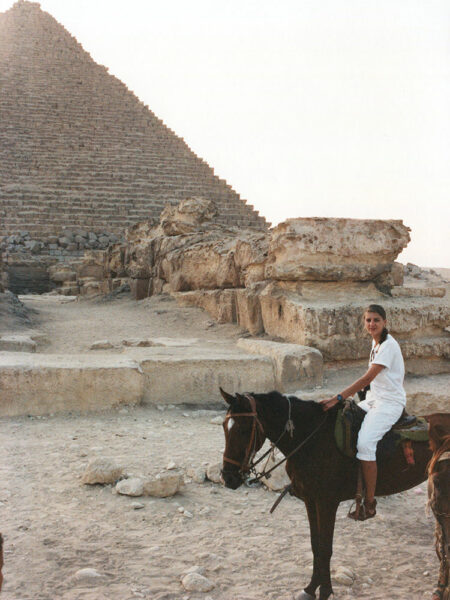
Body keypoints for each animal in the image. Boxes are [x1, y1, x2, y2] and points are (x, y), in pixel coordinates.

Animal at [221, 390, 450, 600]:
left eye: (243, 430)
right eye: (225, 427)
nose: (228, 477)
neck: (311, 439)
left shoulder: (327, 503)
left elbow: (325, 548)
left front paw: (325, 591)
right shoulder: (310, 501)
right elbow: (315, 546)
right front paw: (310, 588)